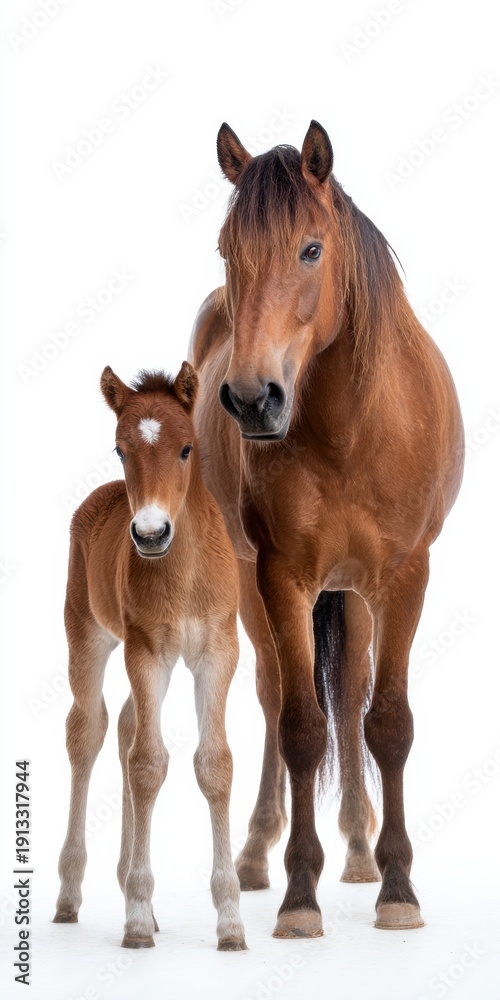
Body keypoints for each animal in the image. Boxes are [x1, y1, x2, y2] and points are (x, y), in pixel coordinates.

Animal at [53, 361, 247, 952]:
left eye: (186, 449)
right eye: (120, 449)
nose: (151, 533)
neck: (181, 570)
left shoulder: (218, 651)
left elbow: (214, 764)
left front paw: (231, 922)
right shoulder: (146, 651)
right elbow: (147, 764)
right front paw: (137, 918)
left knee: (124, 724)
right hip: (87, 633)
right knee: (88, 730)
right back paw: (69, 895)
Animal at [189, 120, 464, 938]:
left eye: (311, 249)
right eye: (226, 249)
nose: (253, 399)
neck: (350, 431)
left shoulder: (405, 576)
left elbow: (387, 723)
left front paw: (398, 888)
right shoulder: (281, 576)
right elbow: (301, 726)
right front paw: (299, 895)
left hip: (361, 596)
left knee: (351, 691)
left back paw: (361, 849)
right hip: (252, 585)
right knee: (276, 692)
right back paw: (256, 854)